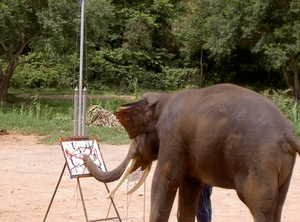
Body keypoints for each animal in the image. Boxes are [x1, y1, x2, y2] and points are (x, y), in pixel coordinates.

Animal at [82, 83, 300, 222]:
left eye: (136, 137)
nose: (85, 154)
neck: (164, 97)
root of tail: (289, 134)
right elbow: (189, 188)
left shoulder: (172, 137)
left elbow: (165, 182)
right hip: (284, 166)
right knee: (278, 206)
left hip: (258, 163)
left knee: (260, 206)